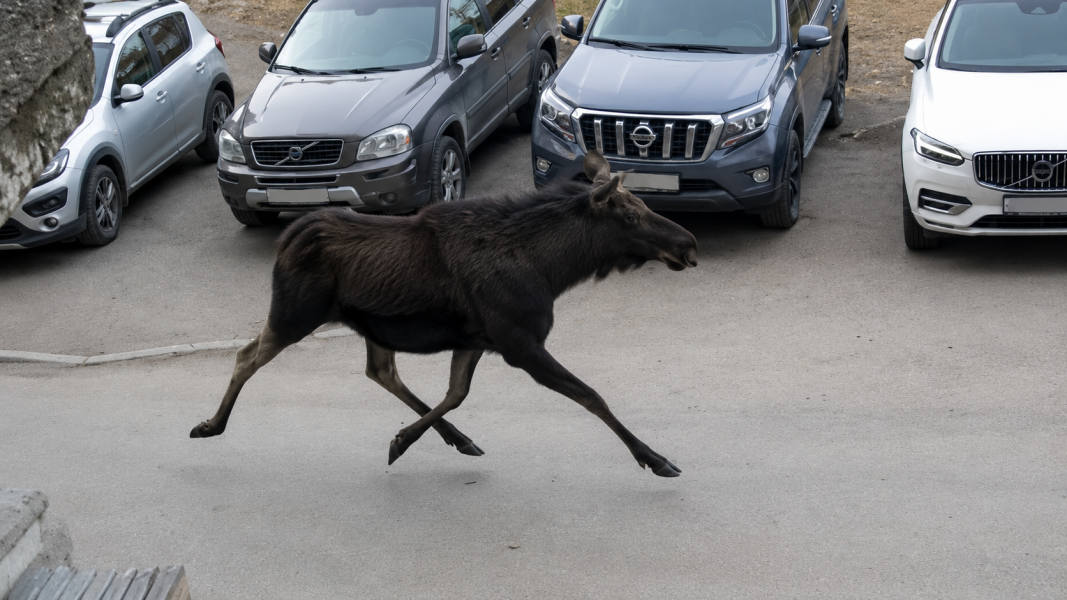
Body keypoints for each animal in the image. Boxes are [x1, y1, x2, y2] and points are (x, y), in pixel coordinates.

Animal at [190, 150, 698, 477]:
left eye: (644, 205)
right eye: (630, 217)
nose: (688, 244)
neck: (553, 270)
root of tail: (287, 237)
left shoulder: (478, 341)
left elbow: (456, 393)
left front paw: (405, 440)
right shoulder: (520, 343)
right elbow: (592, 396)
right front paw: (656, 459)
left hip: (370, 325)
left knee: (381, 372)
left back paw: (454, 438)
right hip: (294, 314)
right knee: (246, 356)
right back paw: (211, 425)